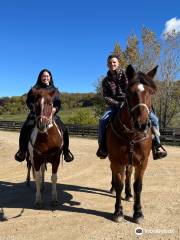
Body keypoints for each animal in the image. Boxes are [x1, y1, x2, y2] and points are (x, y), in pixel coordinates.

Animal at [107, 64, 158, 224]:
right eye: (129, 92)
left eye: (151, 93)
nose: (141, 124)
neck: (131, 135)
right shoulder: (116, 161)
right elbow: (119, 184)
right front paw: (118, 212)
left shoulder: (142, 162)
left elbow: (138, 186)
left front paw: (138, 212)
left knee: (128, 174)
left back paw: (129, 194)